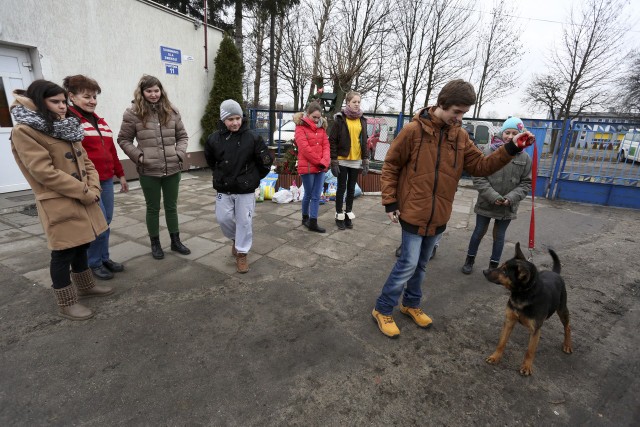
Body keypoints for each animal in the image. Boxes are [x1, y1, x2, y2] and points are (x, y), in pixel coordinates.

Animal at [482, 242, 572, 376]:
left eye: (504, 271)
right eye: (501, 266)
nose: (485, 271)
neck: (523, 294)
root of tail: (555, 273)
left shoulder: (535, 330)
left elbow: (530, 350)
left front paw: (527, 366)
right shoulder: (509, 321)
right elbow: (501, 342)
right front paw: (495, 356)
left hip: (562, 310)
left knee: (567, 327)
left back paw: (567, 344)